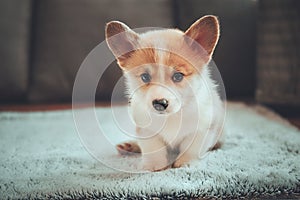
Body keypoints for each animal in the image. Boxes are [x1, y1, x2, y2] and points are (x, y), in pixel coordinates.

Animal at [106, 16, 225, 172]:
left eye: (178, 76)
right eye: (145, 77)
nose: (160, 103)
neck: (171, 117)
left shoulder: (203, 128)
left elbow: (192, 148)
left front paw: (187, 163)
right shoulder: (146, 129)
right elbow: (152, 148)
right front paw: (155, 166)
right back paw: (129, 146)